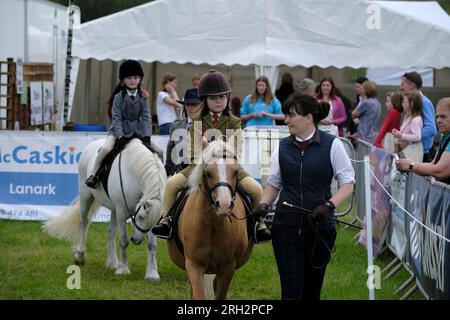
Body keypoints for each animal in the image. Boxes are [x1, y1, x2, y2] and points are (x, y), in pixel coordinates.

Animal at [43, 138, 167, 280]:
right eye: (140, 217)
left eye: (157, 221)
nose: (136, 240)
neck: (133, 173)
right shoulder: (121, 211)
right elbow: (123, 241)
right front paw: (123, 270)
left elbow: (152, 244)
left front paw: (152, 274)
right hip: (86, 197)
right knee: (83, 223)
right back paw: (80, 256)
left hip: (113, 208)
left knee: (110, 231)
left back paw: (113, 262)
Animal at [168, 140, 255, 300]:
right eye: (208, 173)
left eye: (235, 172)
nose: (224, 205)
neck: (212, 225)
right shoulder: (193, 265)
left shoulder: (228, 268)